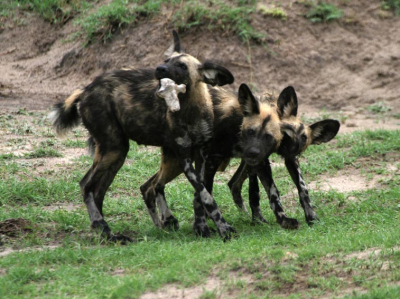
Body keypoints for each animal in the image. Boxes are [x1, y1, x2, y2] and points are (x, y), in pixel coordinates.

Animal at [51, 29, 236, 241]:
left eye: (181, 66)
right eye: (166, 60)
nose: (159, 68)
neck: (190, 111)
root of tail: (86, 88)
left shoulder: (201, 155)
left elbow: (201, 195)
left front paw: (202, 227)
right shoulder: (184, 157)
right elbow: (206, 196)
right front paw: (223, 228)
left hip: (117, 154)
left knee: (99, 191)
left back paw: (106, 232)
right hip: (114, 149)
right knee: (86, 185)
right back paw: (104, 229)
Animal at [139, 84, 298, 237]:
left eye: (268, 137)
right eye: (250, 132)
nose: (252, 152)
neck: (237, 126)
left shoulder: (261, 162)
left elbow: (273, 193)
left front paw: (283, 219)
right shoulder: (211, 162)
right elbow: (204, 194)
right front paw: (207, 226)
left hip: (178, 164)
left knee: (148, 186)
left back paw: (161, 226)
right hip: (179, 161)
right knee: (155, 185)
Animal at [228, 86, 340, 227]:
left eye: (304, 138)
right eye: (286, 131)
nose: (291, 147)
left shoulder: (291, 160)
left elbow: (303, 189)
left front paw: (311, 216)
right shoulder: (262, 162)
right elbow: (273, 191)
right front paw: (284, 219)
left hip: (247, 162)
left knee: (234, 184)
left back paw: (248, 216)